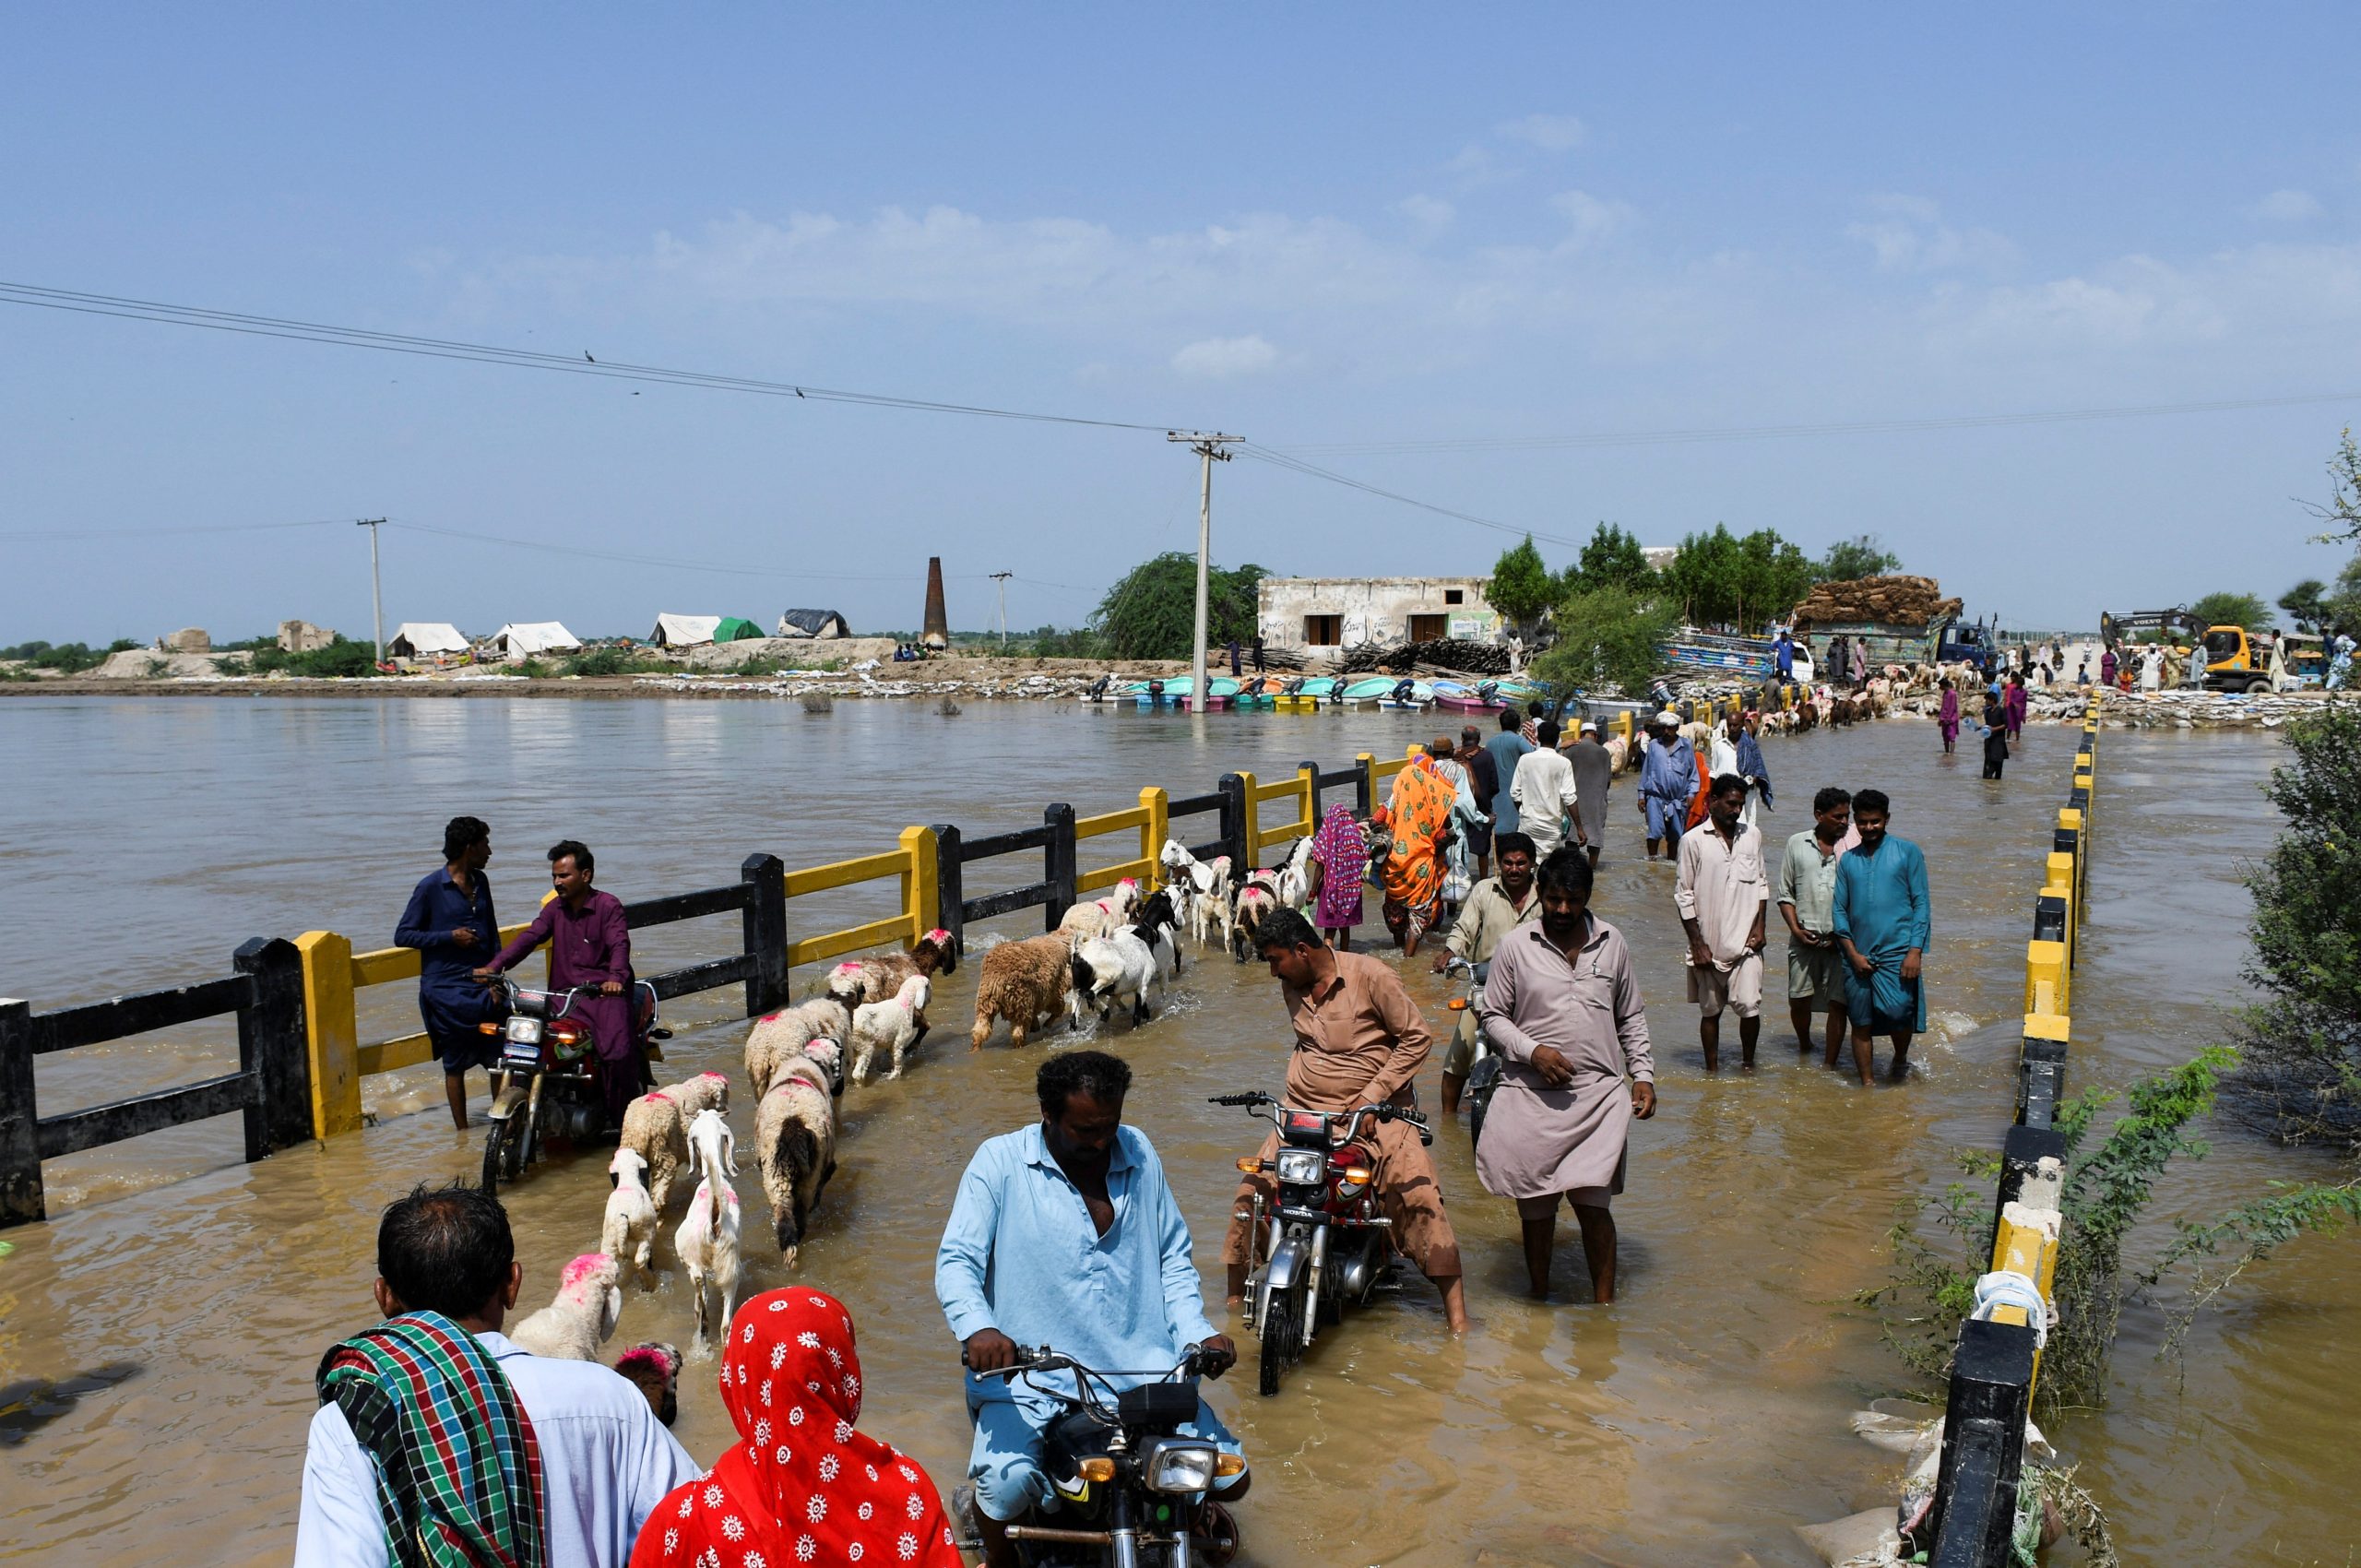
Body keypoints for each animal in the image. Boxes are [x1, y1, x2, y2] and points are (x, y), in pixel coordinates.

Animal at [599, 1138, 656, 1284]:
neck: (628, 1180)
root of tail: (622, 1216)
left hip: (609, 1244)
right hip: (645, 1236)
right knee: (640, 1260)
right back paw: (650, 1283)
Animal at [760, 1048, 845, 1265]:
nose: (841, 1088)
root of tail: (792, 1123)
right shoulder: (827, 1162)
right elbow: (825, 1179)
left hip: (775, 1173)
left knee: (784, 1217)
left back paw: (788, 1247)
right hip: (809, 1175)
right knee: (801, 1214)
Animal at [967, 930, 1081, 1052]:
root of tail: (997, 980)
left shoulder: (1037, 998)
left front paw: (1037, 1027)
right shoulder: (1053, 994)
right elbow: (1057, 1011)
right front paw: (1046, 1024)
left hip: (986, 1001)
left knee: (980, 1030)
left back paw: (975, 1049)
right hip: (1020, 1000)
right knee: (1018, 1032)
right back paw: (1019, 1046)